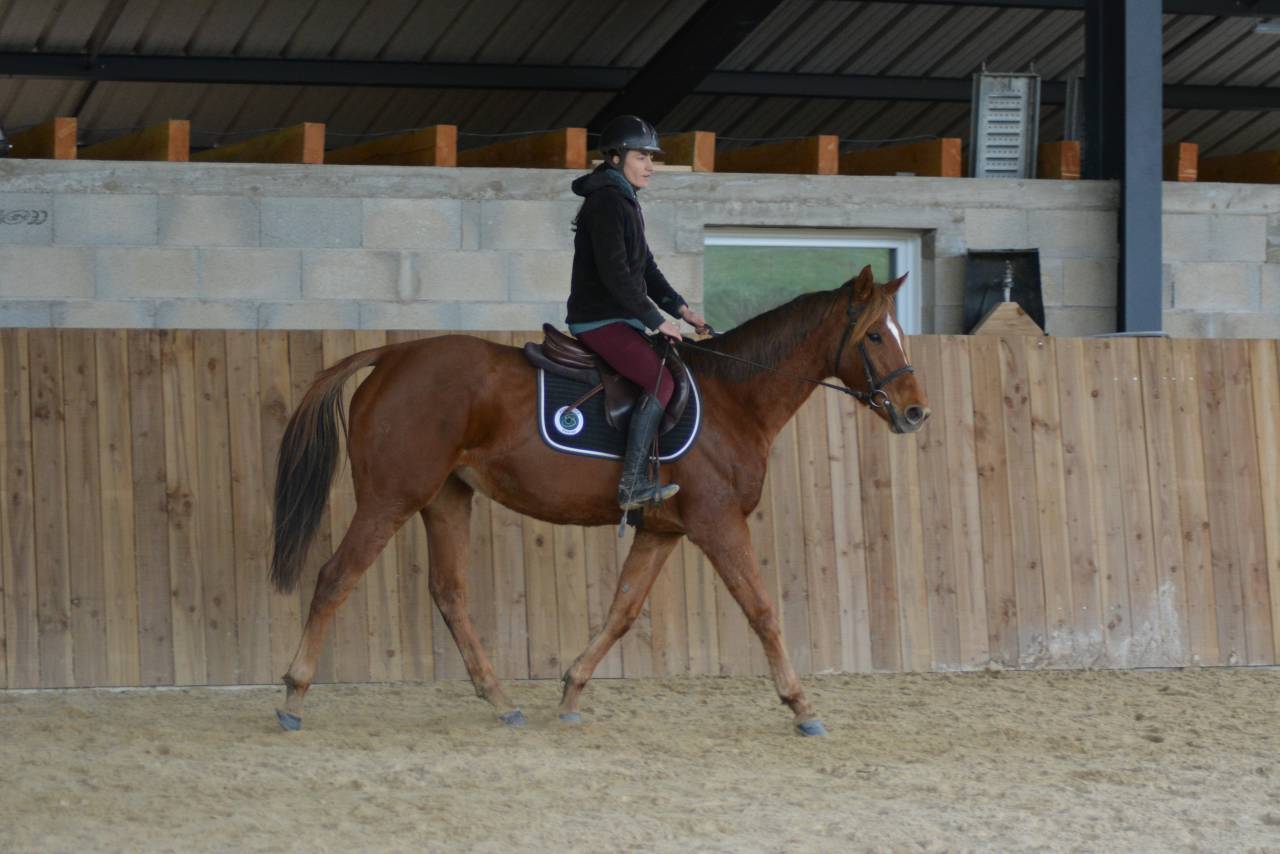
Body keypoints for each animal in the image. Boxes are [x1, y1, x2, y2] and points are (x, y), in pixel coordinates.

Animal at [270, 264, 930, 736]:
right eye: (875, 335)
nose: (916, 413)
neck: (732, 397)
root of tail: (392, 355)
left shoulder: (662, 529)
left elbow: (622, 611)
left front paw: (570, 691)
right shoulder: (717, 524)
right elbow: (762, 610)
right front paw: (801, 705)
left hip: (447, 498)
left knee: (449, 593)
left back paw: (501, 701)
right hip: (391, 496)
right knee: (335, 577)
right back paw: (294, 696)